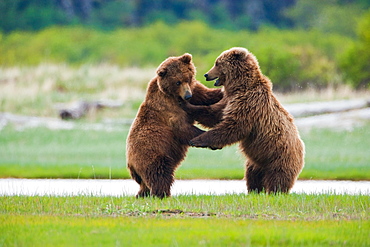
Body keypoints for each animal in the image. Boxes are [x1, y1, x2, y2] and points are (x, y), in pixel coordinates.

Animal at [126, 53, 223, 198]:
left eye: (188, 78)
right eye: (177, 82)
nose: (188, 96)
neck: (174, 95)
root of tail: (130, 163)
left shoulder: (194, 90)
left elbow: (206, 95)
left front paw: (222, 92)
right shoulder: (168, 109)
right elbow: (183, 128)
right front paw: (210, 142)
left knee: (145, 183)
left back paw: (143, 194)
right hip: (152, 153)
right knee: (160, 172)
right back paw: (162, 193)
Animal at [184, 46, 304, 193]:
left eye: (217, 63)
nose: (206, 75)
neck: (240, 87)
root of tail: (302, 150)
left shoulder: (249, 104)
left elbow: (234, 126)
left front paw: (196, 140)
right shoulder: (230, 101)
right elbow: (214, 114)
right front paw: (188, 106)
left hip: (279, 157)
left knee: (277, 178)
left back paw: (274, 191)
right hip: (256, 161)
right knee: (253, 174)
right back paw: (255, 190)